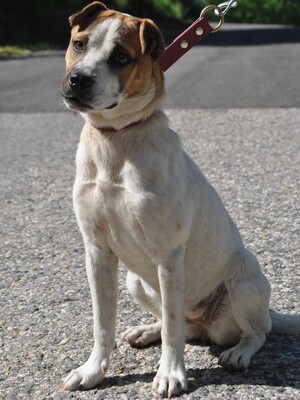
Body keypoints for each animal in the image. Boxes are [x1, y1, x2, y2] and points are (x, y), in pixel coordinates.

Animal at [59, 2, 298, 396]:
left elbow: (173, 331)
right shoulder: (97, 252)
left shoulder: (169, 256)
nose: (78, 79)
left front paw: (171, 374)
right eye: (79, 44)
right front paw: (93, 371)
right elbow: (103, 324)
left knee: (253, 333)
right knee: (181, 326)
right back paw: (146, 330)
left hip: (244, 281)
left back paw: (238, 353)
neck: (117, 139)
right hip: (136, 282)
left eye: (121, 57)